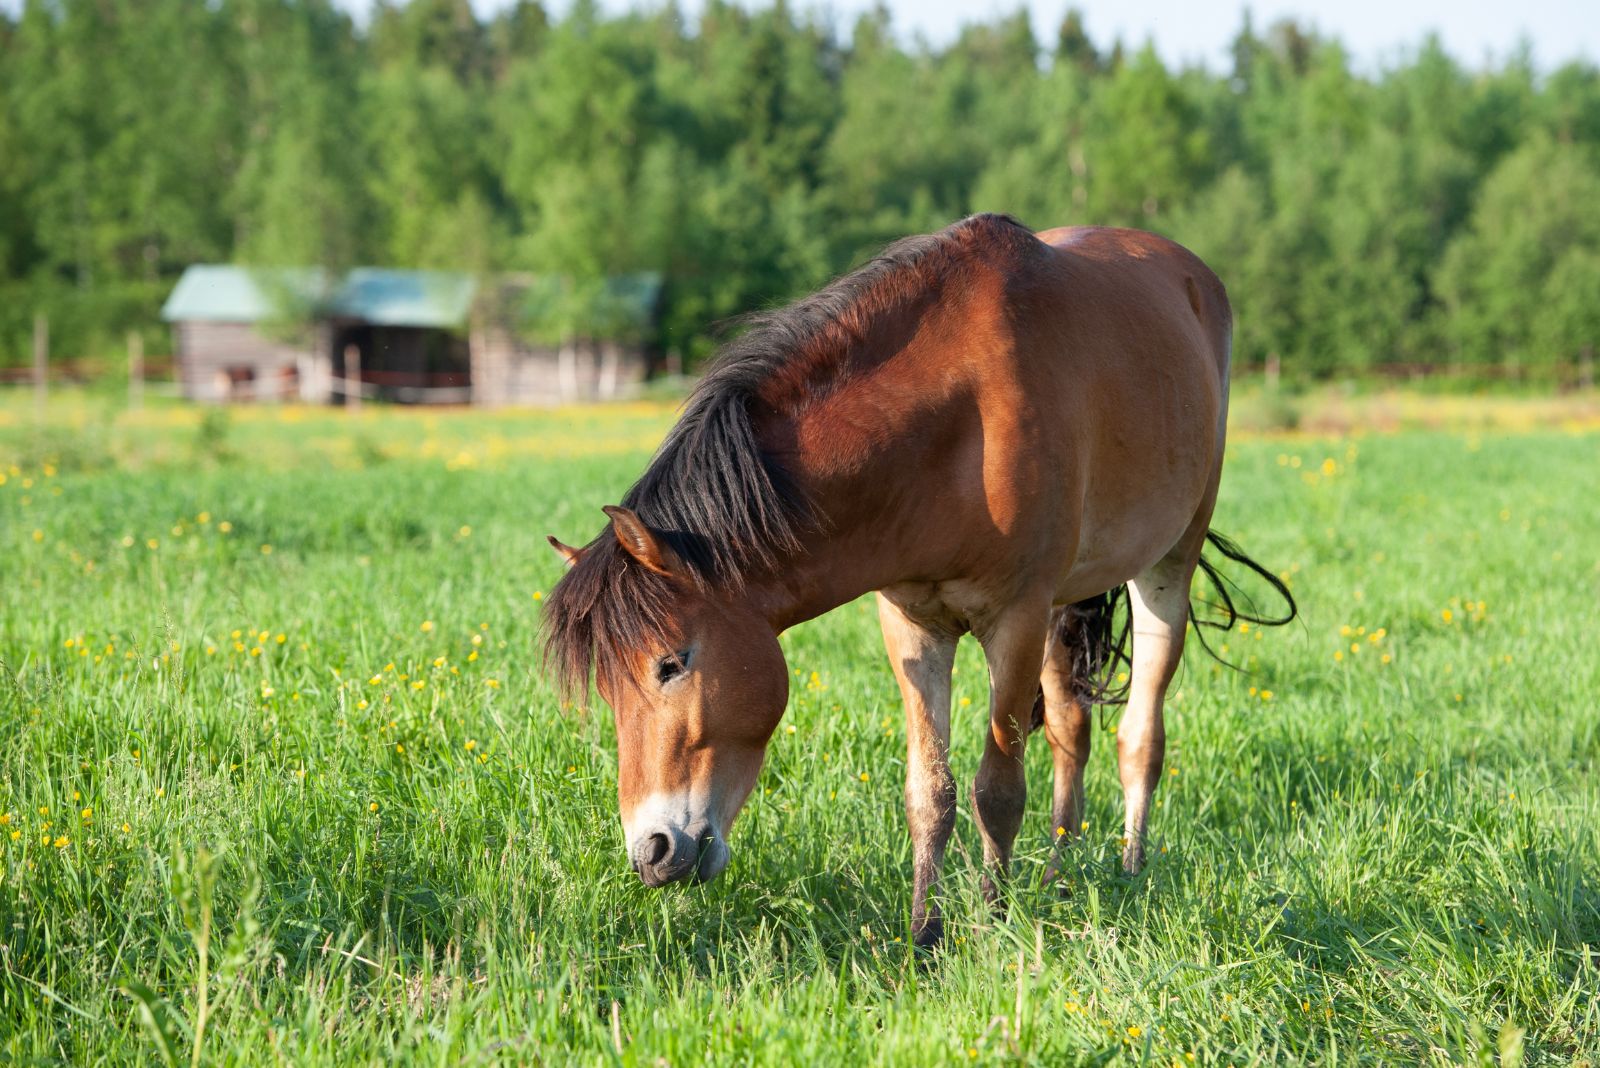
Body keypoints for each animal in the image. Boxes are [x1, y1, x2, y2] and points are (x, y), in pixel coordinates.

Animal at [544, 212, 1292, 946]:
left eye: (672, 663)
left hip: (1166, 566)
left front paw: (992, 925)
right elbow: (930, 793)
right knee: (1070, 733)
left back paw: (1131, 873)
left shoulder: (1014, 620)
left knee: (1140, 737)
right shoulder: (913, 625)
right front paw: (924, 938)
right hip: (1068, 602)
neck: (961, 419)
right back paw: (1060, 880)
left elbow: (997, 791)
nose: (652, 853)